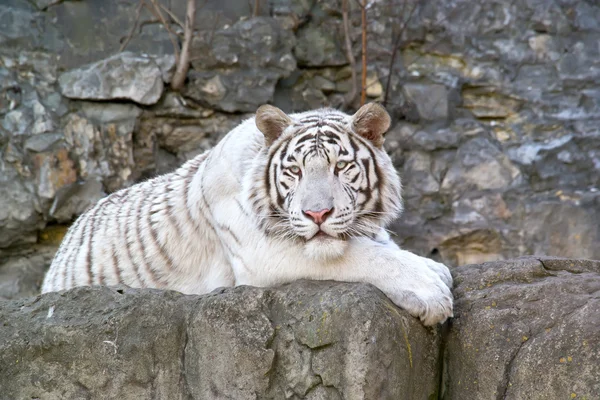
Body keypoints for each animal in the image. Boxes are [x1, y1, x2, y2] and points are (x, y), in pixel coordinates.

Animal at [42, 102, 452, 324]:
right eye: (295, 170)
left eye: (340, 167)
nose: (317, 213)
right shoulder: (263, 254)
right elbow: (362, 256)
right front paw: (432, 284)